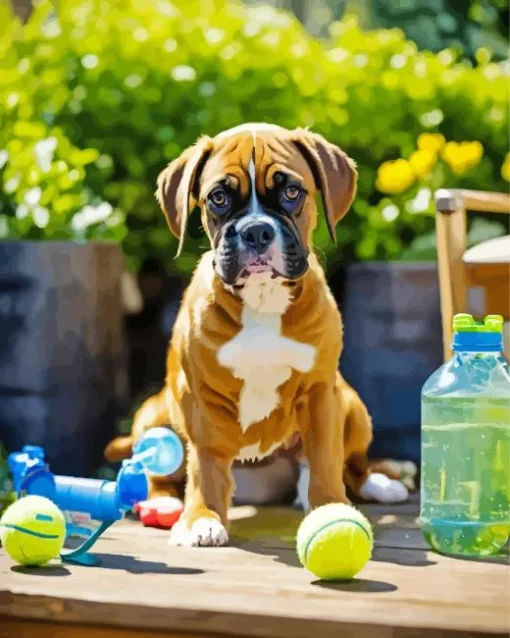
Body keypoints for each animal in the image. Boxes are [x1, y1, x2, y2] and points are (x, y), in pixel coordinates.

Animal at [105, 125, 408, 552]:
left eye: (292, 191)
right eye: (218, 197)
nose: (256, 230)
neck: (262, 300)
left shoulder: (321, 393)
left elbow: (326, 457)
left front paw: (331, 508)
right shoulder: (200, 399)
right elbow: (205, 465)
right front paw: (202, 517)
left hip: (352, 405)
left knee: (350, 464)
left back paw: (376, 484)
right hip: (152, 416)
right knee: (160, 473)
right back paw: (165, 504)